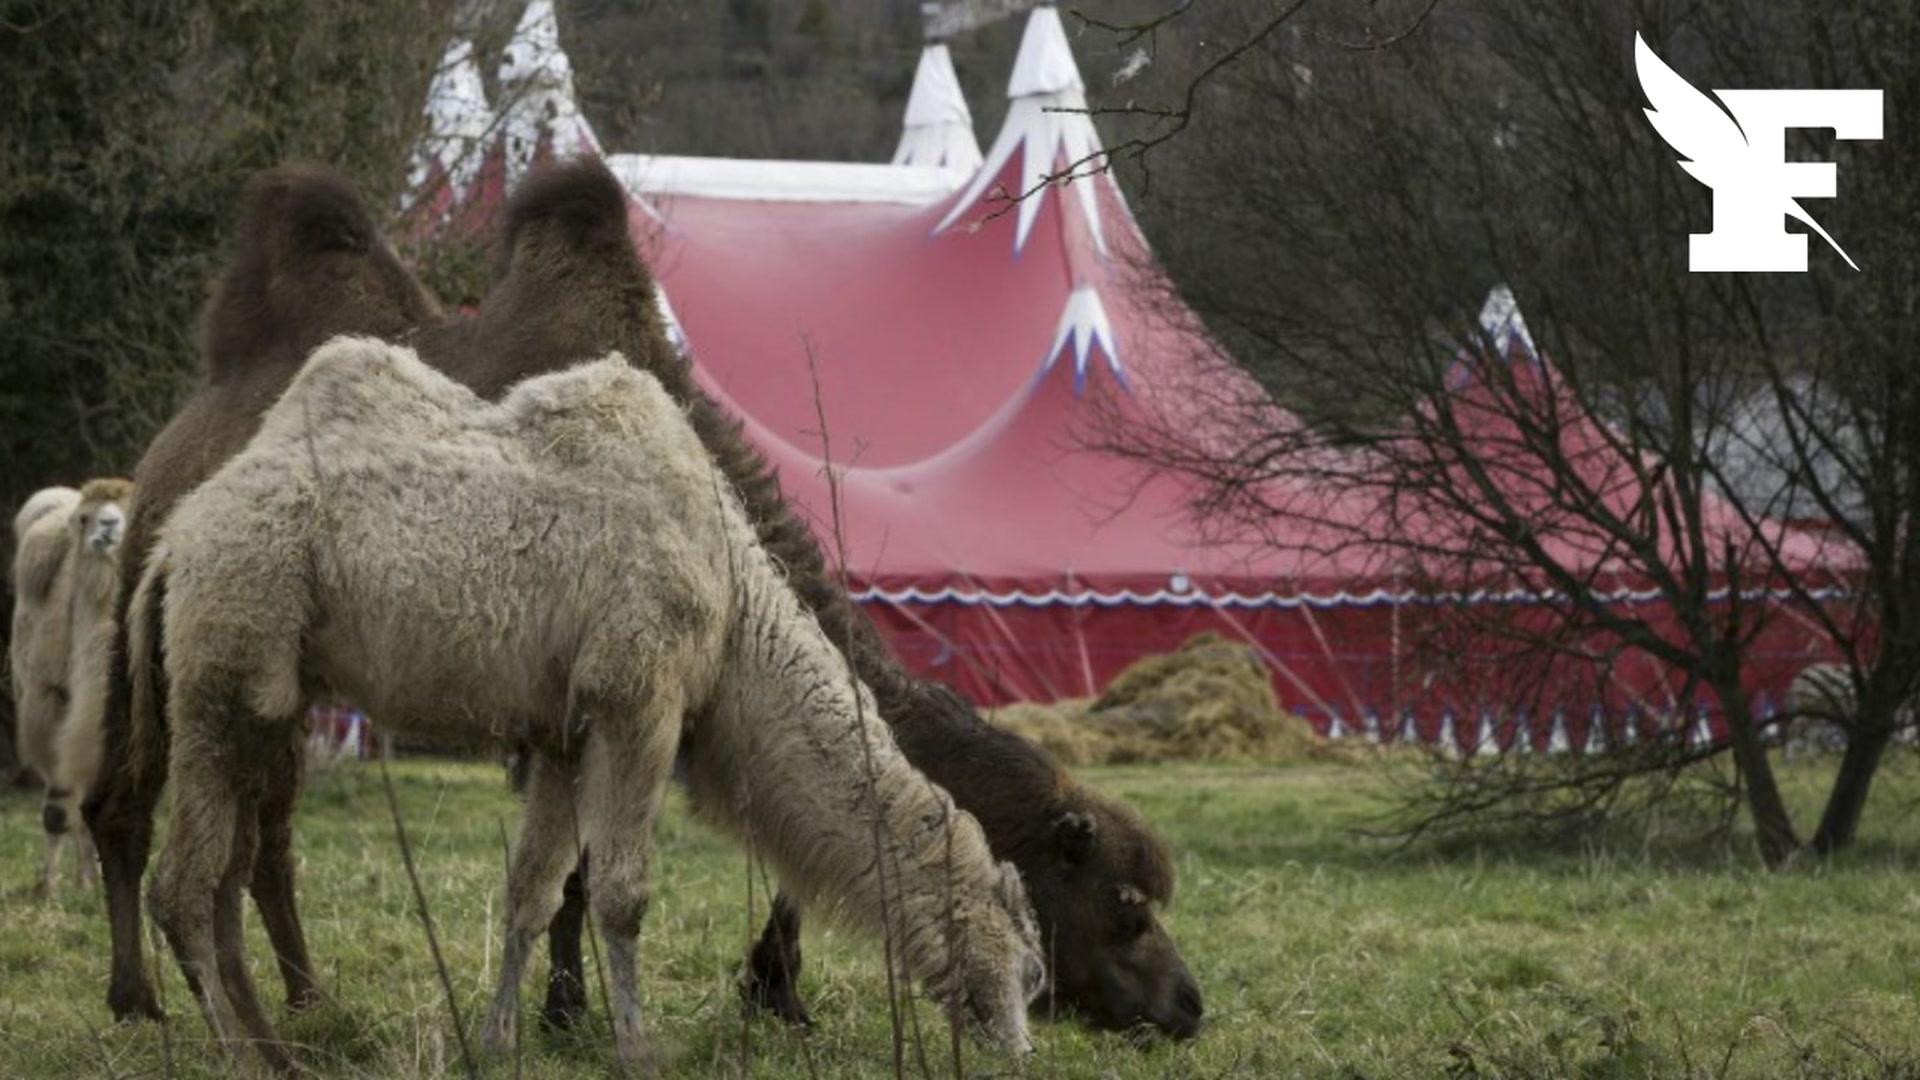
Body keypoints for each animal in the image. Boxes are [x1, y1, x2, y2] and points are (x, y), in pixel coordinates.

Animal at [135, 340, 1052, 1060]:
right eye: (1031, 966)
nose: (1023, 1048)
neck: (735, 610)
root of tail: (172, 540)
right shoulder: (638, 701)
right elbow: (621, 892)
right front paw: (637, 1046)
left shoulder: (562, 732)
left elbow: (532, 888)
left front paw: (499, 1038)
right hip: (226, 656)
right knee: (180, 882)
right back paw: (238, 1054)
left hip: (267, 694)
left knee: (223, 872)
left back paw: (273, 1045)